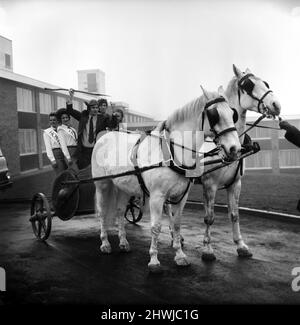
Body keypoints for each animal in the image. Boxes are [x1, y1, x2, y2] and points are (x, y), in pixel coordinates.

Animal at [91, 85, 241, 270]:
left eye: (233, 113)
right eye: (214, 115)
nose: (235, 148)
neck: (173, 152)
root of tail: (105, 136)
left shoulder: (181, 196)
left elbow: (176, 224)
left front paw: (180, 255)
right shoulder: (157, 196)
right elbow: (156, 227)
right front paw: (154, 260)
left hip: (123, 187)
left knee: (119, 212)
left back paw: (124, 242)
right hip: (102, 185)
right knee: (103, 212)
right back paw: (105, 243)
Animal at [199, 64, 282, 260]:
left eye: (265, 83)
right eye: (249, 85)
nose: (276, 105)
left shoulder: (235, 183)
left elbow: (234, 214)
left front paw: (241, 245)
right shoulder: (209, 184)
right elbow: (209, 217)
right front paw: (207, 249)